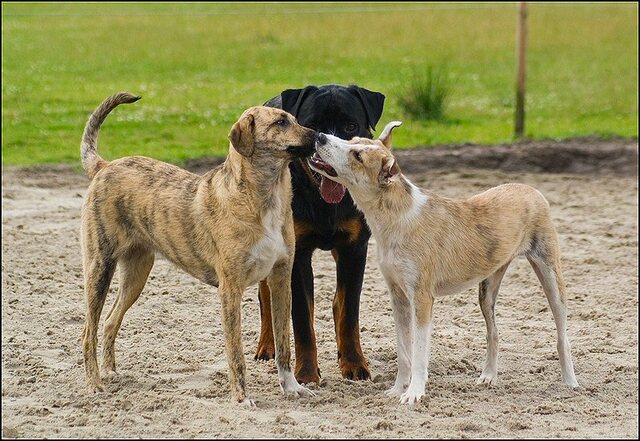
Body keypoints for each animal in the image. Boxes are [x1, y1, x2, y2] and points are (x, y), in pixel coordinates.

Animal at [255, 83, 384, 382]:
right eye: (312, 126)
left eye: (351, 126)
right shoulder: (297, 253)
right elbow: (302, 318)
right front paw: (305, 373)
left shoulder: (354, 248)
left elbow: (349, 312)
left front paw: (354, 363)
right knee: (266, 298)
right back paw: (267, 346)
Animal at [310, 123, 580, 402]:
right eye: (352, 140)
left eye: (358, 156)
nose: (320, 137)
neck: (396, 217)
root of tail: (531, 189)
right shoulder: (398, 296)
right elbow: (403, 350)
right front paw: (397, 389)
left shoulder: (422, 297)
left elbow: (419, 351)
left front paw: (414, 393)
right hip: (487, 289)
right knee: (493, 332)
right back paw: (488, 376)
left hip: (550, 275)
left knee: (562, 335)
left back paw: (570, 382)